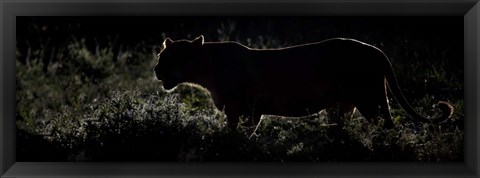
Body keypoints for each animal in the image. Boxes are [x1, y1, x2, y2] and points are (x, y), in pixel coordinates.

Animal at [155, 35, 454, 129]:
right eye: (160, 56)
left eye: (169, 58)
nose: (156, 70)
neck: (205, 70)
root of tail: (376, 50)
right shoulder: (251, 111)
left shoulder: (240, 108)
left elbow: (233, 133)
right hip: (343, 105)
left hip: (371, 100)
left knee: (388, 126)